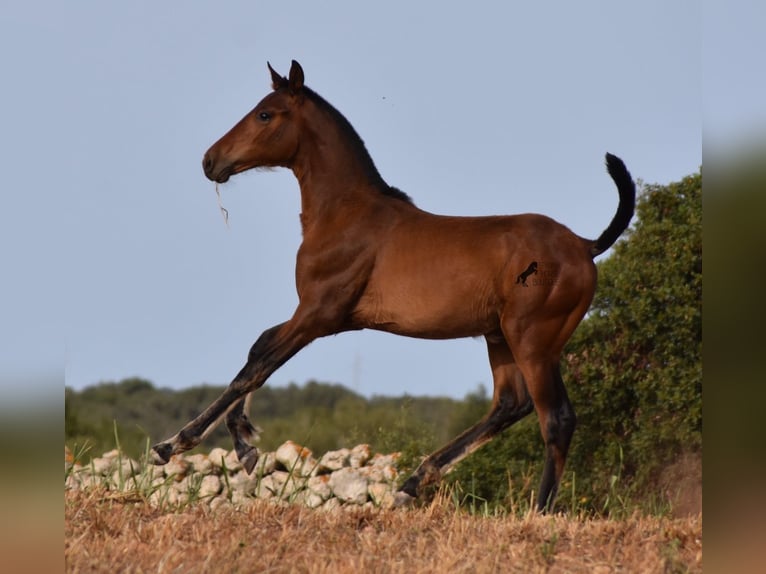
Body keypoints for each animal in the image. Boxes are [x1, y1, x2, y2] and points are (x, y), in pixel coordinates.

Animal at [153, 60, 640, 516]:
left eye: (265, 114)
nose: (210, 161)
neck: (347, 213)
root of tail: (584, 245)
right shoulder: (330, 317)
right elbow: (258, 348)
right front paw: (244, 443)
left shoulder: (318, 314)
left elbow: (257, 366)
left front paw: (175, 443)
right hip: (499, 336)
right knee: (509, 405)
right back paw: (412, 483)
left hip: (533, 339)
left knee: (555, 418)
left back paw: (537, 511)